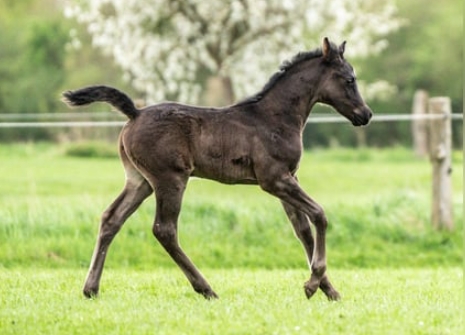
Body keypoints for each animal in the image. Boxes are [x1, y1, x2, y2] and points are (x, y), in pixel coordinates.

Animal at [62, 37, 374, 302]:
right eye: (350, 79)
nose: (366, 114)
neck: (274, 118)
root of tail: (135, 113)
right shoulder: (274, 180)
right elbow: (319, 215)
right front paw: (312, 284)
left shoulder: (288, 179)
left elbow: (303, 231)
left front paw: (328, 290)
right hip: (169, 179)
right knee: (164, 229)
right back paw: (206, 289)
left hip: (140, 181)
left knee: (111, 219)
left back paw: (91, 289)